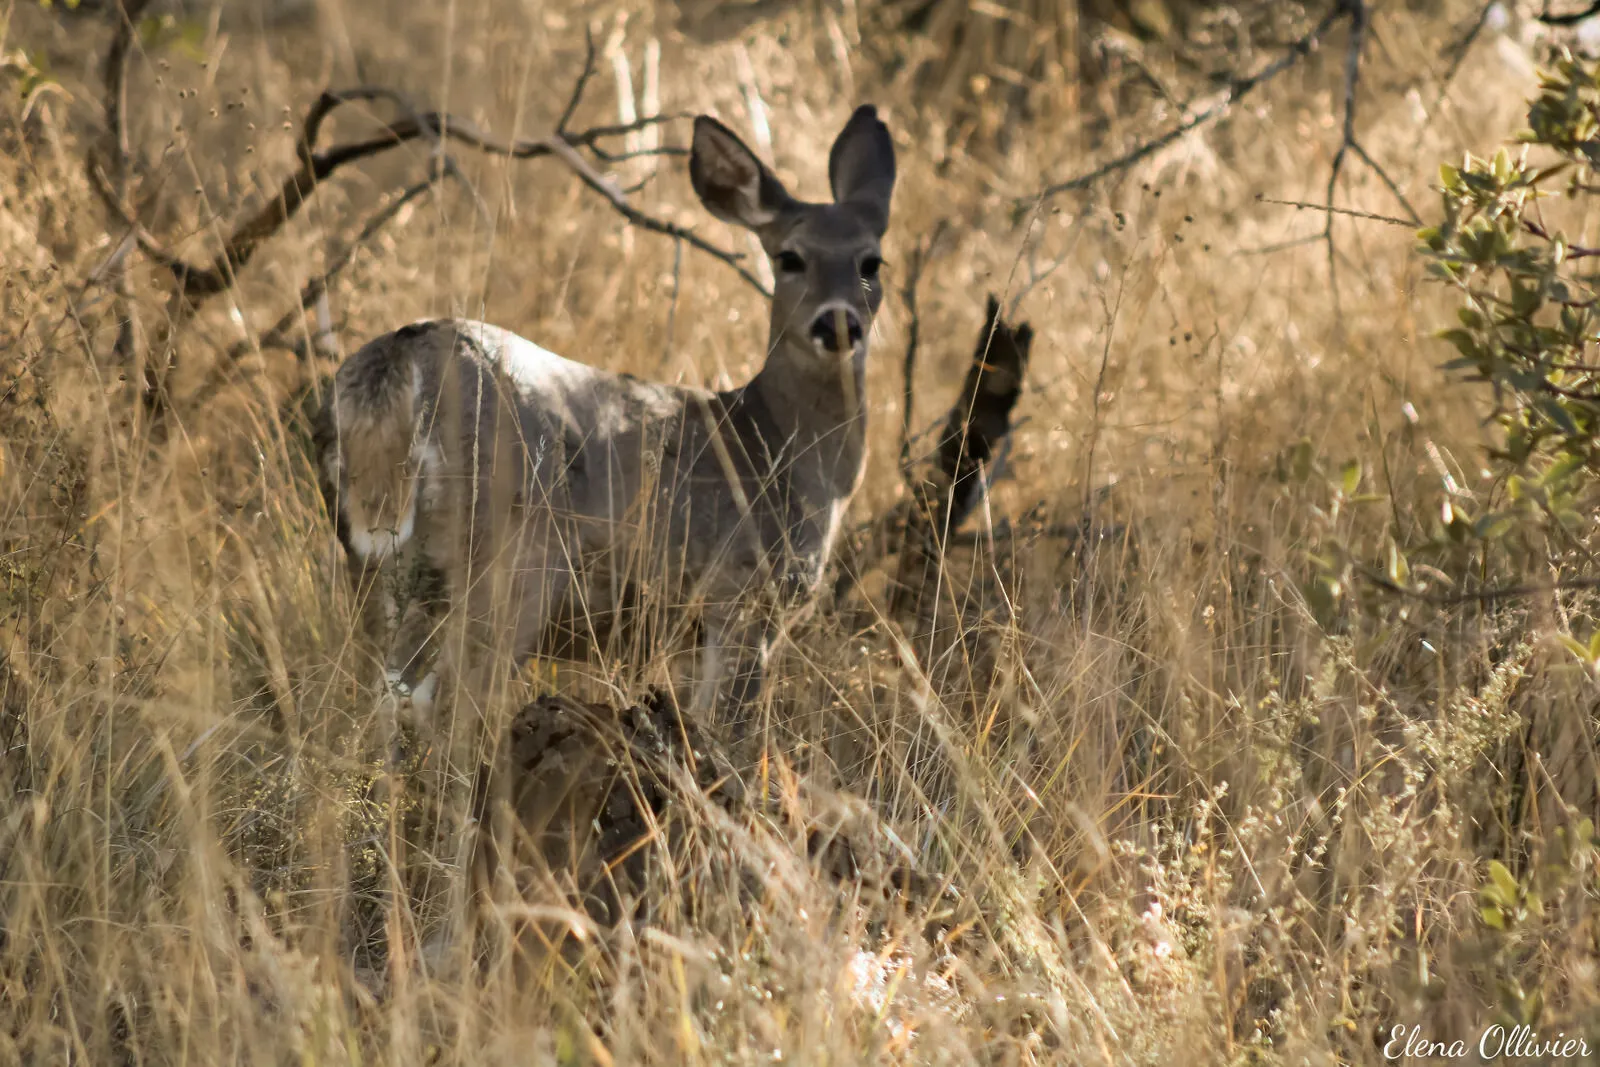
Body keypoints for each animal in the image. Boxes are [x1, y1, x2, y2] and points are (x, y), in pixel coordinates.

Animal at [314, 105, 897, 735]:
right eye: (790, 257)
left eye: (871, 261)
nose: (837, 323)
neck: (778, 446)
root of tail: (400, 355)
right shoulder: (744, 596)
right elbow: (729, 736)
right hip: (508, 562)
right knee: (450, 705)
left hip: (382, 571)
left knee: (382, 700)